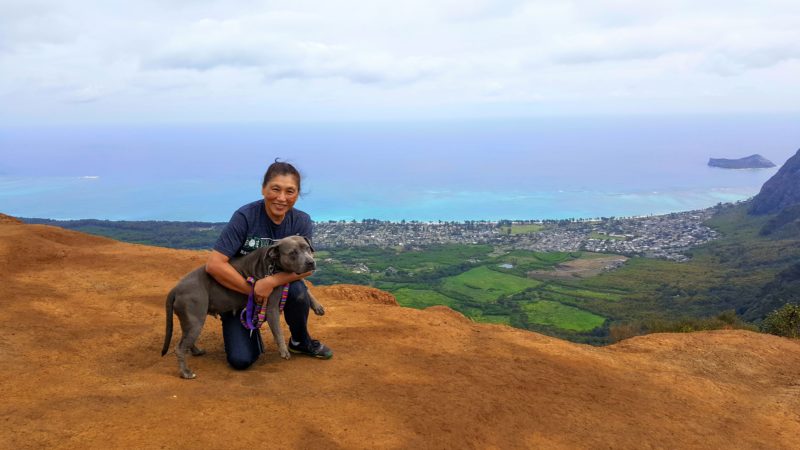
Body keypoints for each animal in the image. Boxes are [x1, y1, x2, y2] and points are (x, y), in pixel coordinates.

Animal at [161, 236, 324, 380]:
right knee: (180, 348)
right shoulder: (271, 308)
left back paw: (196, 351)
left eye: (307, 248)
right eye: (292, 253)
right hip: (195, 320)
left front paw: (317, 305)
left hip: (191, 322)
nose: (311, 262)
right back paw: (186, 373)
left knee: (186, 340)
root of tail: (176, 288)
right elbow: (278, 331)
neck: (273, 264)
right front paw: (284, 351)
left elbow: (302, 283)